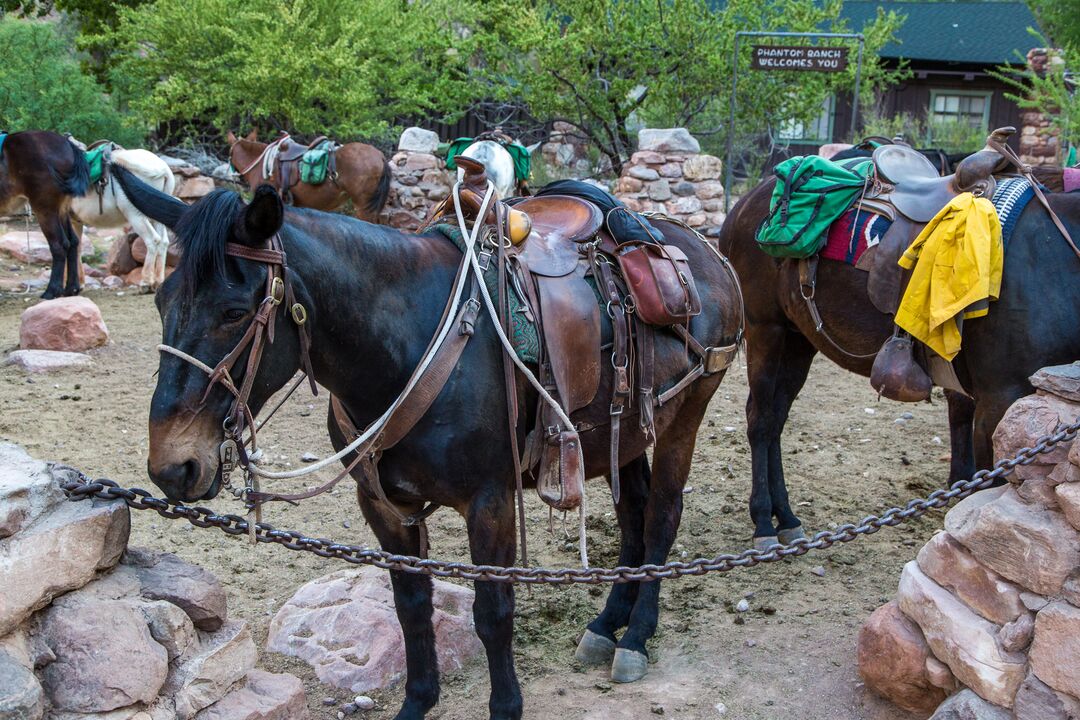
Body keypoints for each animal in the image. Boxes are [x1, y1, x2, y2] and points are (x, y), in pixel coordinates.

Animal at [0, 131, 90, 297]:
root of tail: (68, 145)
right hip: (61, 210)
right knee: (73, 242)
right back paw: (71, 288)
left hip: (45, 209)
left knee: (59, 245)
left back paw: (52, 291)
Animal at [65, 142, 174, 291]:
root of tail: (163, 170)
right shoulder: (75, 221)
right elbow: (77, 247)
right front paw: (79, 284)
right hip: (157, 217)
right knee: (163, 242)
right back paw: (158, 282)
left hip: (135, 215)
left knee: (153, 240)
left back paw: (145, 283)